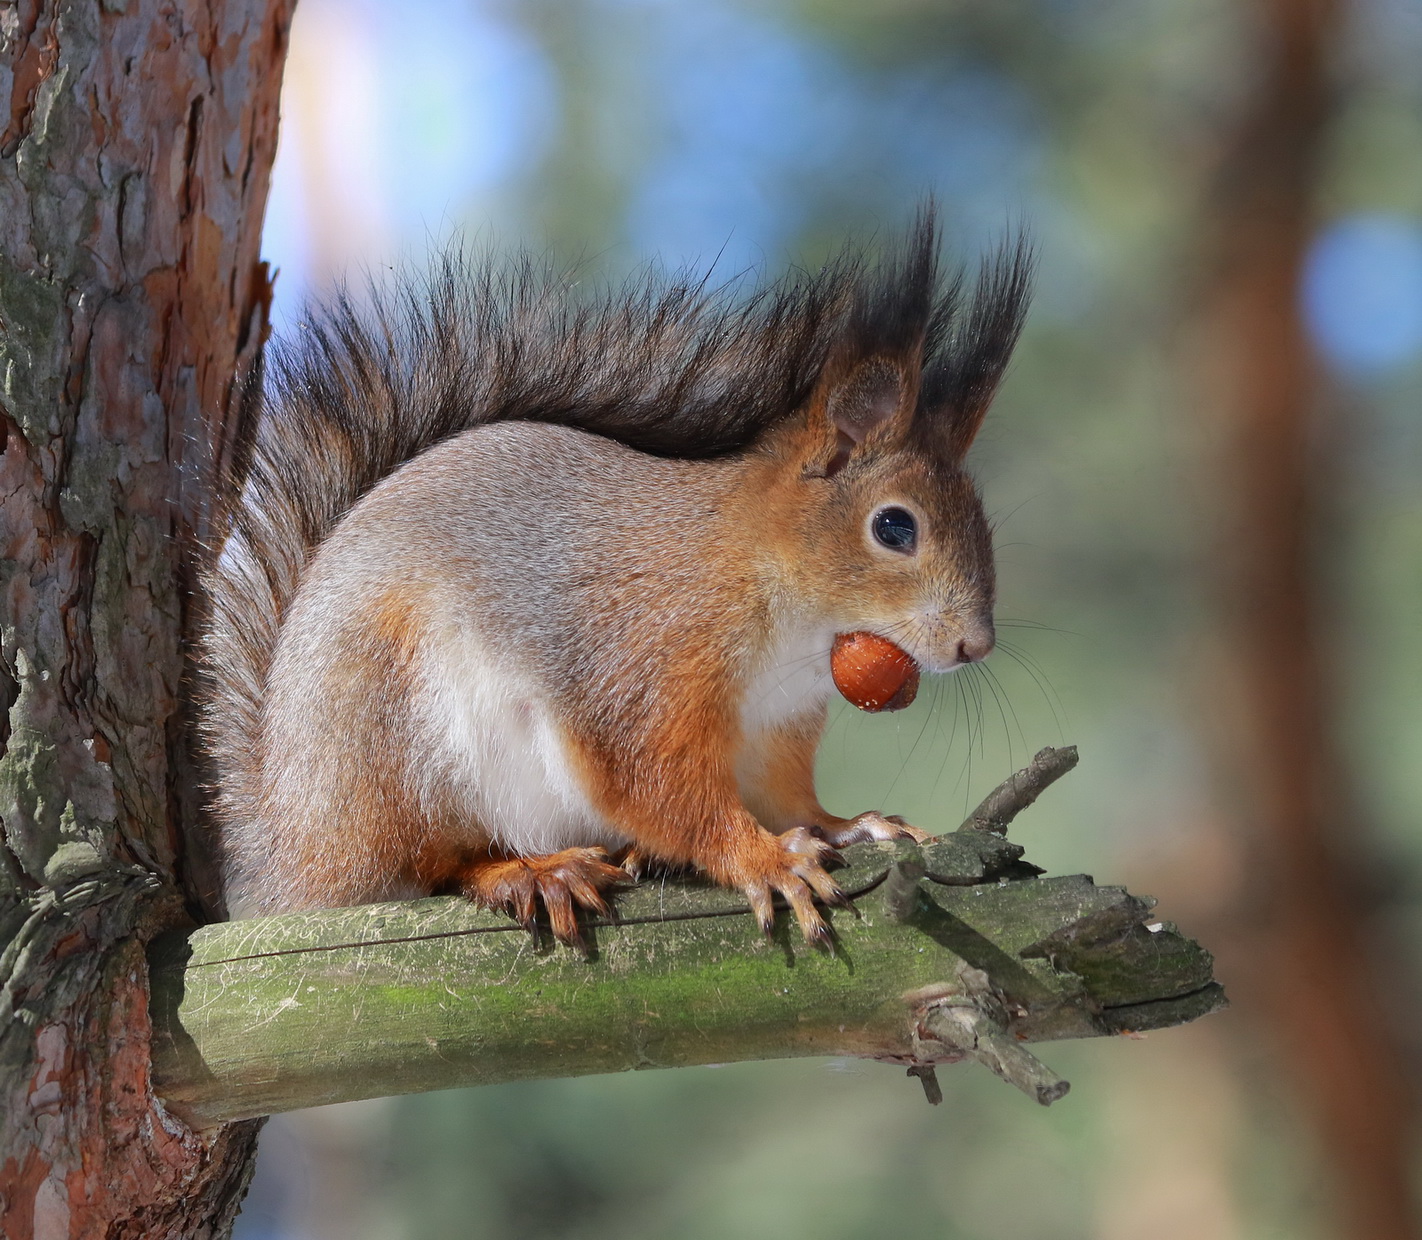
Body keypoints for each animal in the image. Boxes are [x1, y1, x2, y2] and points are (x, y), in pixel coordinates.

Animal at [197, 216, 1035, 949]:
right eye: (893, 527)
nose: (975, 645)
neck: (788, 625)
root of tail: (292, 846)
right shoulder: (645, 661)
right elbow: (654, 783)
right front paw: (766, 859)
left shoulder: (775, 731)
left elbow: (789, 799)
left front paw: (847, 825)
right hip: (401, 747)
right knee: (433, 866)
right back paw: (533, 872)